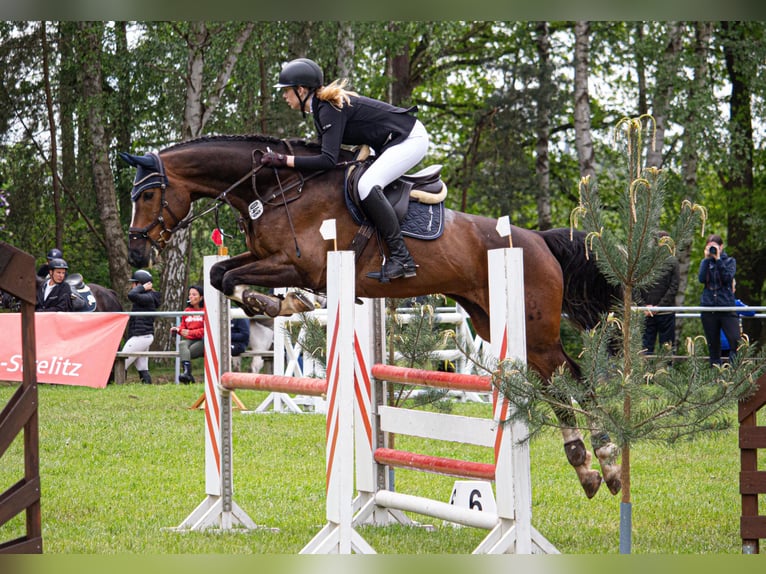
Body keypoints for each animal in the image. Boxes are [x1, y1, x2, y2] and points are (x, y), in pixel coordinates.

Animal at [120, 135, 624, 500]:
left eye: (150, 194)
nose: (137, 252)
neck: (276, 190)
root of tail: (538, 240)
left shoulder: (301, 264)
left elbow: (236, 278)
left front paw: (283, 303)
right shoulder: (265, 258)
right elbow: (221, 274)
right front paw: (276, 304)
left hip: (534, 329)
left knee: (572, 377)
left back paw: (606, 461)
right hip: (491, 320)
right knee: (554, 384)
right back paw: (586, 468)